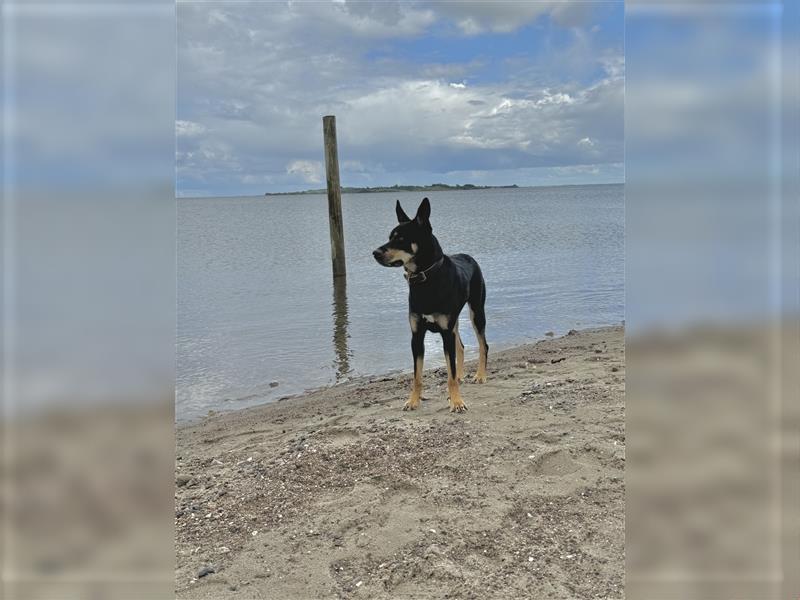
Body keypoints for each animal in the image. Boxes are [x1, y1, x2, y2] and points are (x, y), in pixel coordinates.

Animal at [374, 197, 488, 412]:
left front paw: (457, 402)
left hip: (477, 312)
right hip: (455, 322)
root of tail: (469, 256)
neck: (425, 279)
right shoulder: (417, 335)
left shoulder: (445, 332)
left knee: (483, 344)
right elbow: (417, 376)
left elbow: (450, 372)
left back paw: (480, 375)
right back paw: (462, 376)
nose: (375, 253)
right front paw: (413, 401)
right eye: (390, 237)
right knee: (461, 347)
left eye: (401, 239)